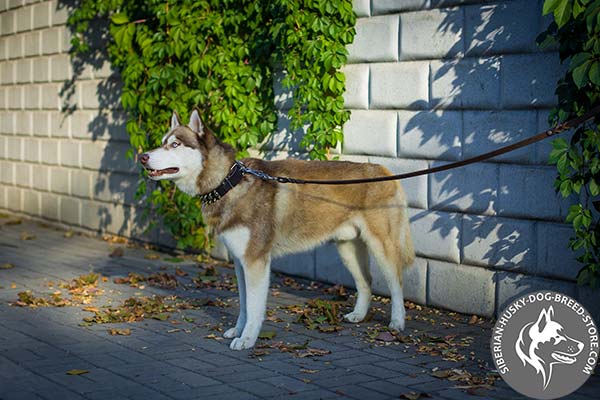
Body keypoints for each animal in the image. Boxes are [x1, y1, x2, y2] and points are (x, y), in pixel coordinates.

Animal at [141, 110, 414, 350]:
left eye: (175, 144)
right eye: (162, 143)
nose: (142, 156)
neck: (228, 183)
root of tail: (384, 170)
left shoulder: (256, 261)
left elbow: (254, 307)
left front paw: (247, 340)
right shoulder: (240, 262)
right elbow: (244, 305)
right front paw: (238, 330)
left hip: (382, 247)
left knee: (397, 284)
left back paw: (397, 322)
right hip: (348, 249)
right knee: (366, 282)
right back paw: (358, 314)